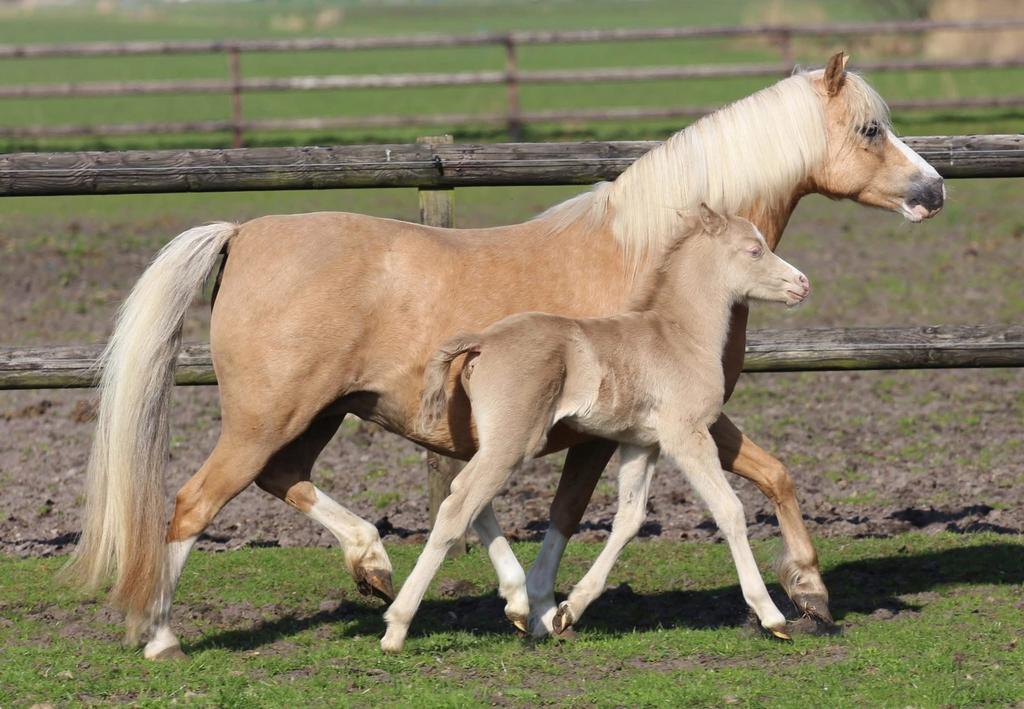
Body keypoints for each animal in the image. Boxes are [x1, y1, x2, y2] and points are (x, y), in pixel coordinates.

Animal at [383, 205, 809, 652]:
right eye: (754, 250)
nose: (802, 283)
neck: (680, 336)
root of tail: (483, 340)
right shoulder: (686, 435)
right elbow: (729, 509)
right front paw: (772, 616)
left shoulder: (642, 445)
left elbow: (629, 518)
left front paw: (568, 610)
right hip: (514, 440)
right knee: (457, 505)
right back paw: (397, 627)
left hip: (497, 441)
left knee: (468, 496)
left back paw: (520, 607)